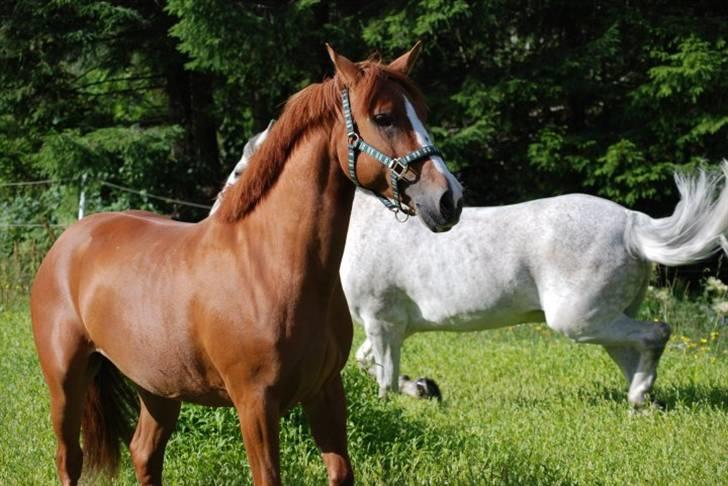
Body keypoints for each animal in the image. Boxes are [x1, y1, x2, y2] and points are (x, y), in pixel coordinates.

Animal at [31, 43, 464, 484]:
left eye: (422, 113)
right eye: (383, 117)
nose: (449, 198)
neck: (270, 267)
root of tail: (68, 242)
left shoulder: (326, 390)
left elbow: (341, 472)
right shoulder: (255, 404)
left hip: (158, 388)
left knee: (144, 453)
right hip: (66, 381)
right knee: (69, 458)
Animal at [215, 124, 728, 406]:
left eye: (239, 171)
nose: (218, 212)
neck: (362, 228)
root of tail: (632, 224)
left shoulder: (381, 320)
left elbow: (382, 376)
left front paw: (403, 396)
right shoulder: (390, 326)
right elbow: (370, 364)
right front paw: (422, 387)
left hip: (578, 320)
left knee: (656, 334)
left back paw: (640, 397)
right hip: (600, 320)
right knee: (636, 348)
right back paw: (641, 400)